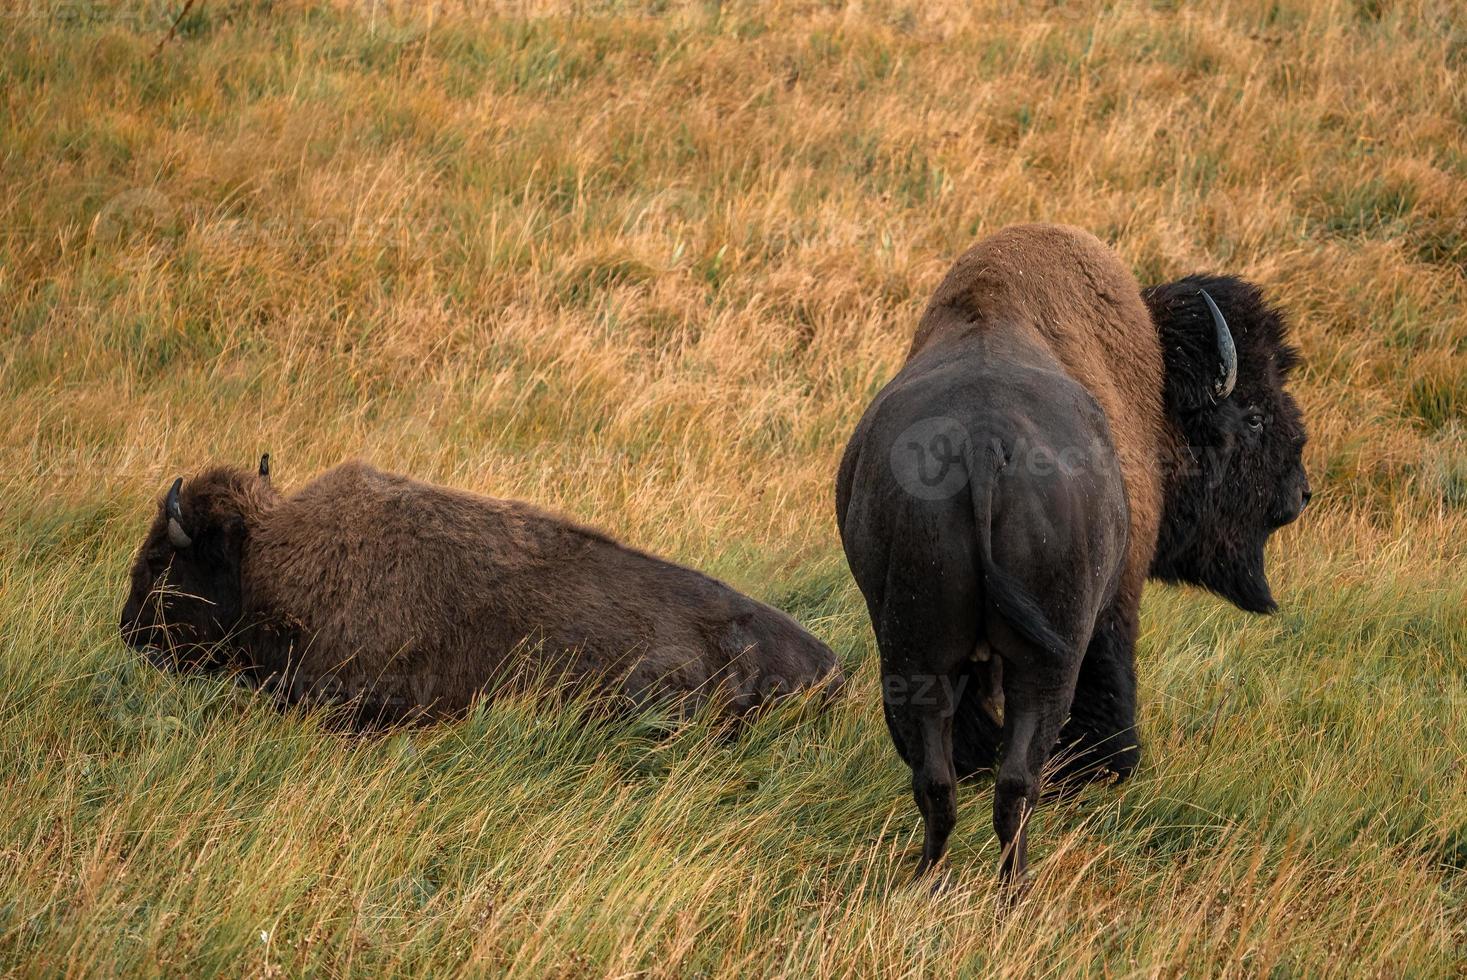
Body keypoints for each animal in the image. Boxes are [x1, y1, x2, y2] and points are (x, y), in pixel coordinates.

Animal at [839, 225, 1308, 886]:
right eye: (1257, 417)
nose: (1300, 491)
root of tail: (982, 447)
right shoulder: (1116, 604)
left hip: (912, 649)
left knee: (936, 776)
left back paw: (931, 878)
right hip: (1047, 659)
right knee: (1023, 774)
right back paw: (1015, 883)